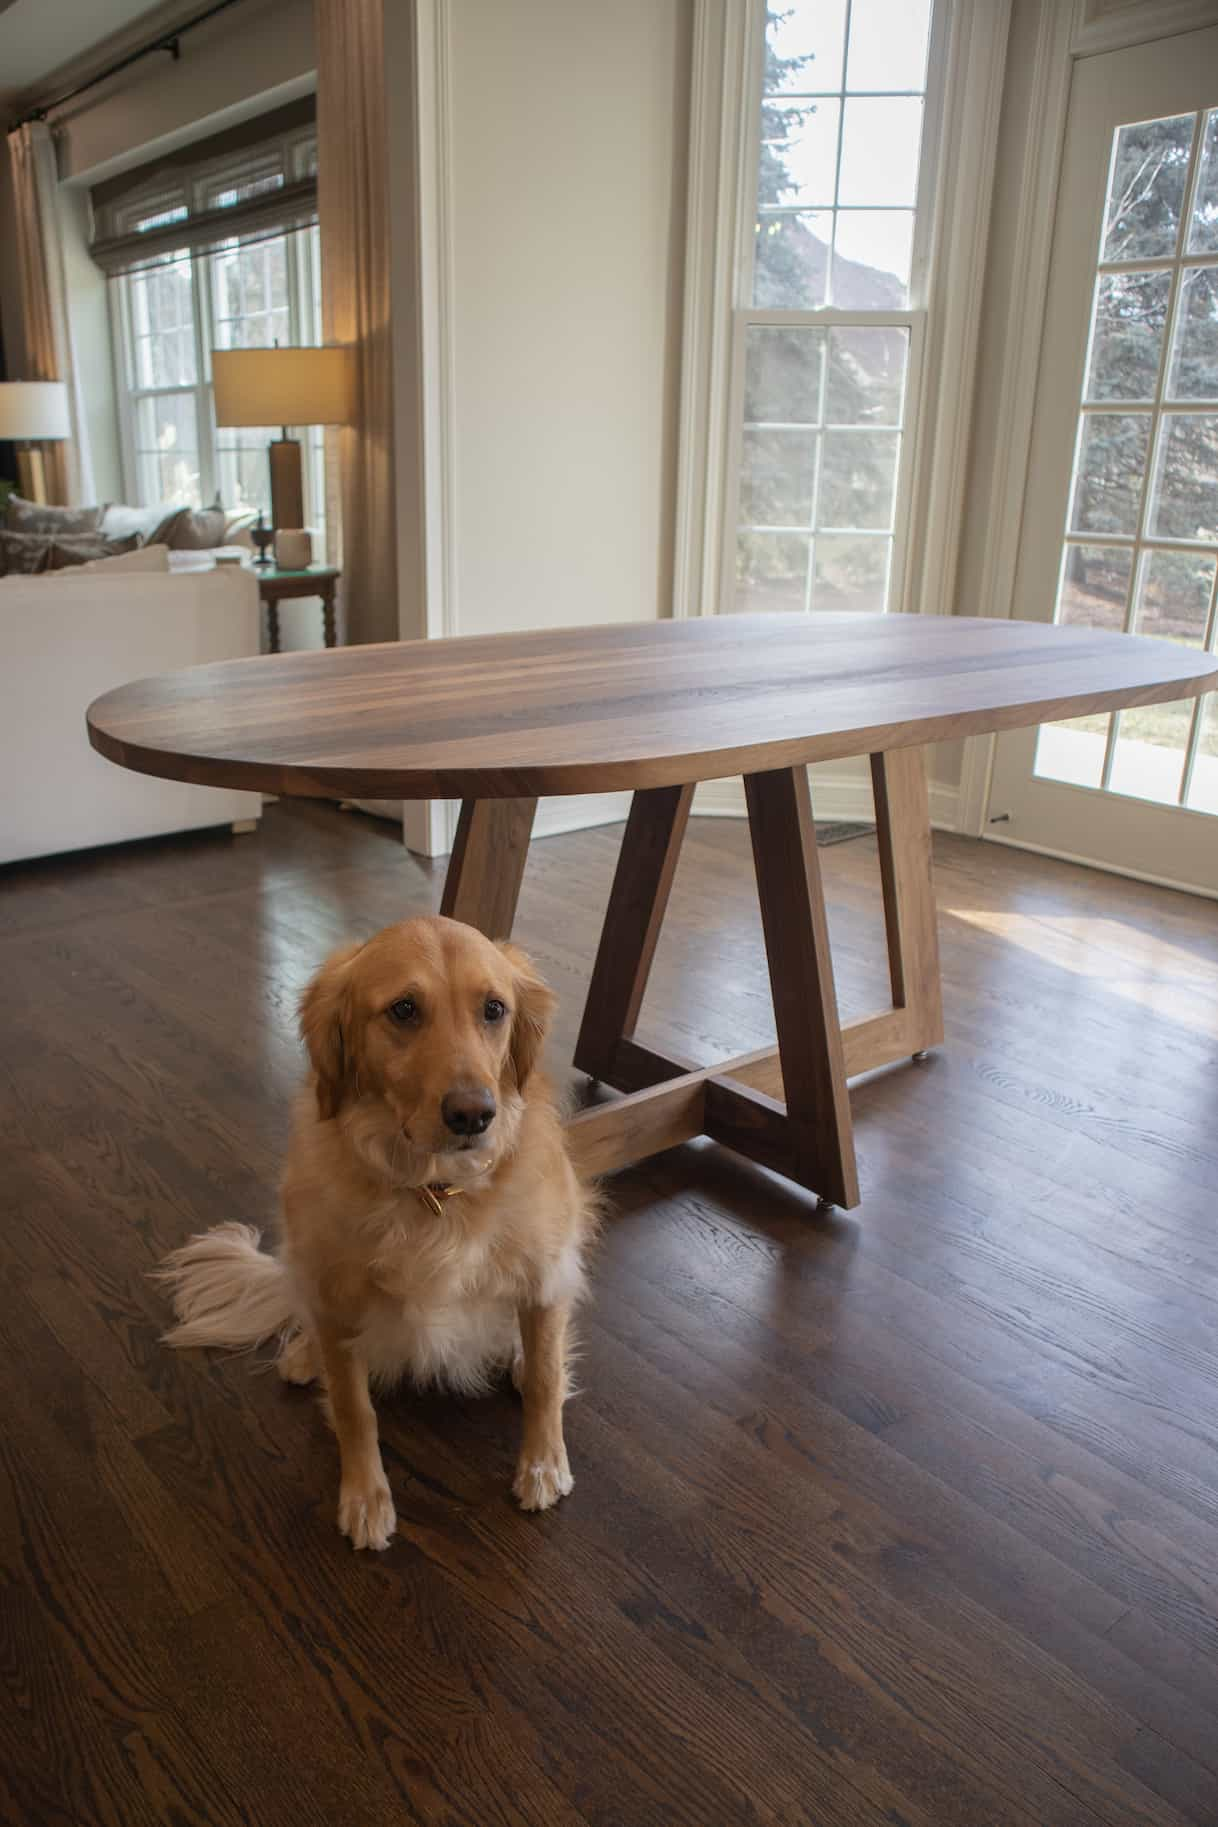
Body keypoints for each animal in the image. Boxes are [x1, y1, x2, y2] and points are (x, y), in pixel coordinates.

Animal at [159, 920, 598, 1549]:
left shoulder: (543, 1277)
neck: (436, 1190)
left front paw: (542, 1466)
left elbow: (544, 1378)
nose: (474, 1115)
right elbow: (353, 1409)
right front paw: (365, 1497)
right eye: (404, 1009)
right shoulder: (335, 1301)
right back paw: (304, 1355)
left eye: (494, 1009)